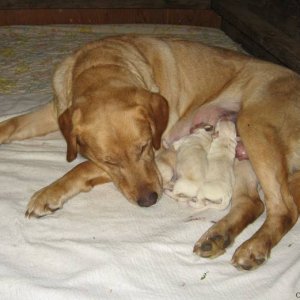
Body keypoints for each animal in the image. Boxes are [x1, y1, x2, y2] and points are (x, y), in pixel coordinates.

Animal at [0, 34, 300, 270]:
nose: (149, 201)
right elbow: (13, 124)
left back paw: (254, 247)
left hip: (255, 127)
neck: (101, 65)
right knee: (253, 203)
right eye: (110, 160)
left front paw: (48, 193)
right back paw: (218, 236)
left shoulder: (161, 150)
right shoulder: (57, 109)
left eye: (144, 147)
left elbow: (80, 166)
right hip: (241, 152)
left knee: (284, 208)